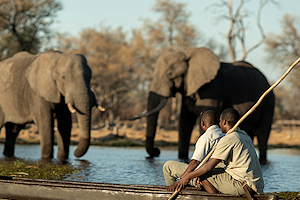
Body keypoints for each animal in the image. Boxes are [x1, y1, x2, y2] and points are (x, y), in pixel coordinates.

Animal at [131, 47, 274, 164]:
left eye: (170, 74)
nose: (157, 151)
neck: (186, 54)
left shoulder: (212, 89)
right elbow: (185, 122)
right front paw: (182, 158)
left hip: (268, 103)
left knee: (263, 135)